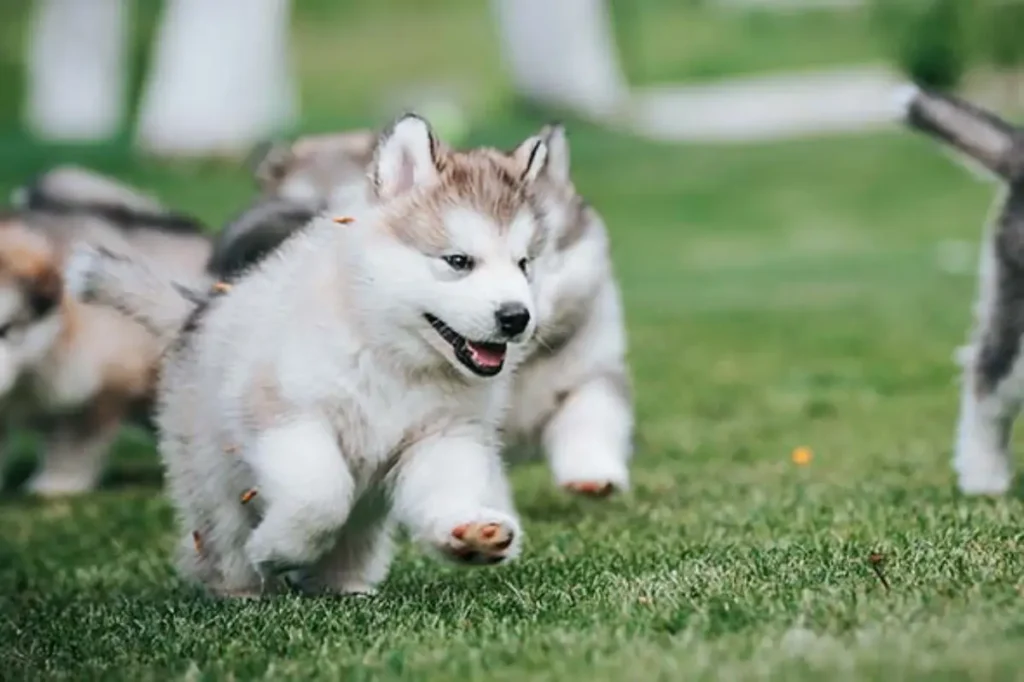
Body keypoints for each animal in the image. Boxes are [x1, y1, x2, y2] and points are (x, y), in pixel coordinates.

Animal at [65, 114, 552, 598]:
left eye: (523, 264)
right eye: (458, 261)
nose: (516, 317)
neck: (393, 356)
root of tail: (200, 309)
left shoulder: (443, 434)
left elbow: (446, 490)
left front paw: (471, 534)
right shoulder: (287, 414)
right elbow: (321, 493)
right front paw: (277, 549)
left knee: (354, 538)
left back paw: (344, 584)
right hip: (212, 476)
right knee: (221, 539)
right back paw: (242, 587)